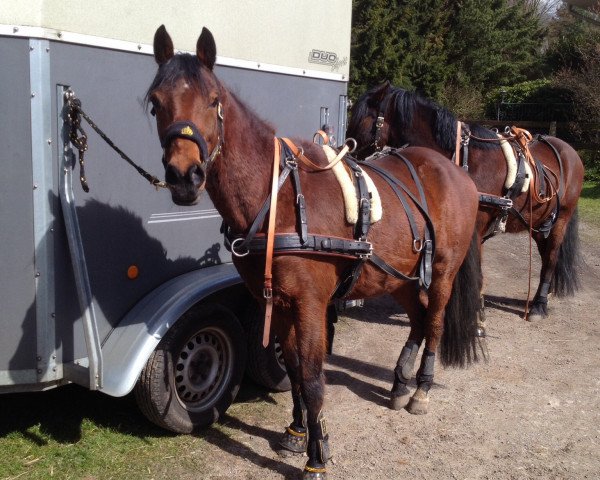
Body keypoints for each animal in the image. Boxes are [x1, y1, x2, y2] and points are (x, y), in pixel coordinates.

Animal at [149, 27, 482, 480]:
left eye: (213, 100)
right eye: (155, 102)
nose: (185, 176)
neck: (279, 199)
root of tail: (455, 173)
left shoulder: (309, 303)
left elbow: (310, 375)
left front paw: (317, 454)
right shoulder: (276, 300)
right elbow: (291, 365)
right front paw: (297, 430)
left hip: (443, 272)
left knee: (433, 321)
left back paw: (421, 390)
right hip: (399, 276)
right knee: (417, 317)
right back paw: (400, 383)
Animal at [350, 81, 584, 322]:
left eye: (362, 116)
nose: (348, 149)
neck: (466, 160)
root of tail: (568, 150)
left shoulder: (475, 231)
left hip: (561, 219)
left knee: (551, 258)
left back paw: (539, 304)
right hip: (538, 223)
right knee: (546, 256)